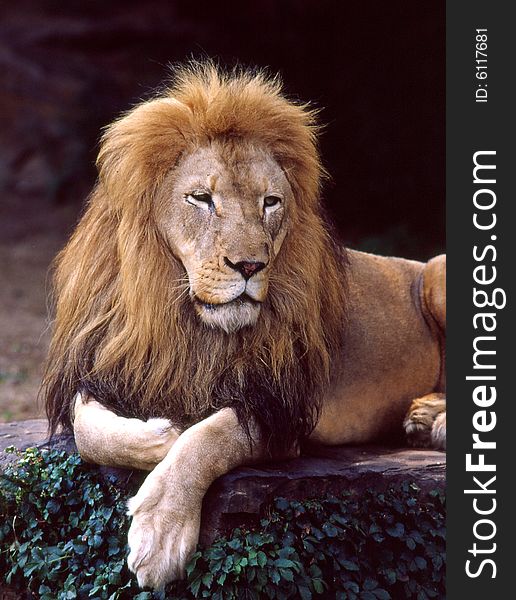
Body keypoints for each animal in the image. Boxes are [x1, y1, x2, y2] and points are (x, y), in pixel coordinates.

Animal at [43, 63, 444, 588]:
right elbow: (88, 429)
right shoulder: (106, 368)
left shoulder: (280, 409)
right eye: (201, 198)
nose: (250, 265)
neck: (186, 323)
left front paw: (161, 529)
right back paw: (422, 418)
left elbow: (209, 438)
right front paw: (159, 437)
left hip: (438, 273)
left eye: (270, 202)